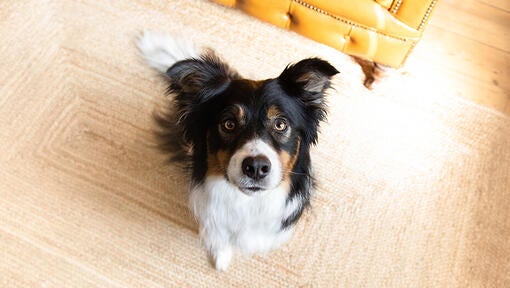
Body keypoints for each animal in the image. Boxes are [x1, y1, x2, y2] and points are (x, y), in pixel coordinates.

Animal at [137, 31, 340, 270]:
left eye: (281, 124)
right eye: (229, 124)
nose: (256, 167)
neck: (248, 203)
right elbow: (218, 236)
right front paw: (220, 257)